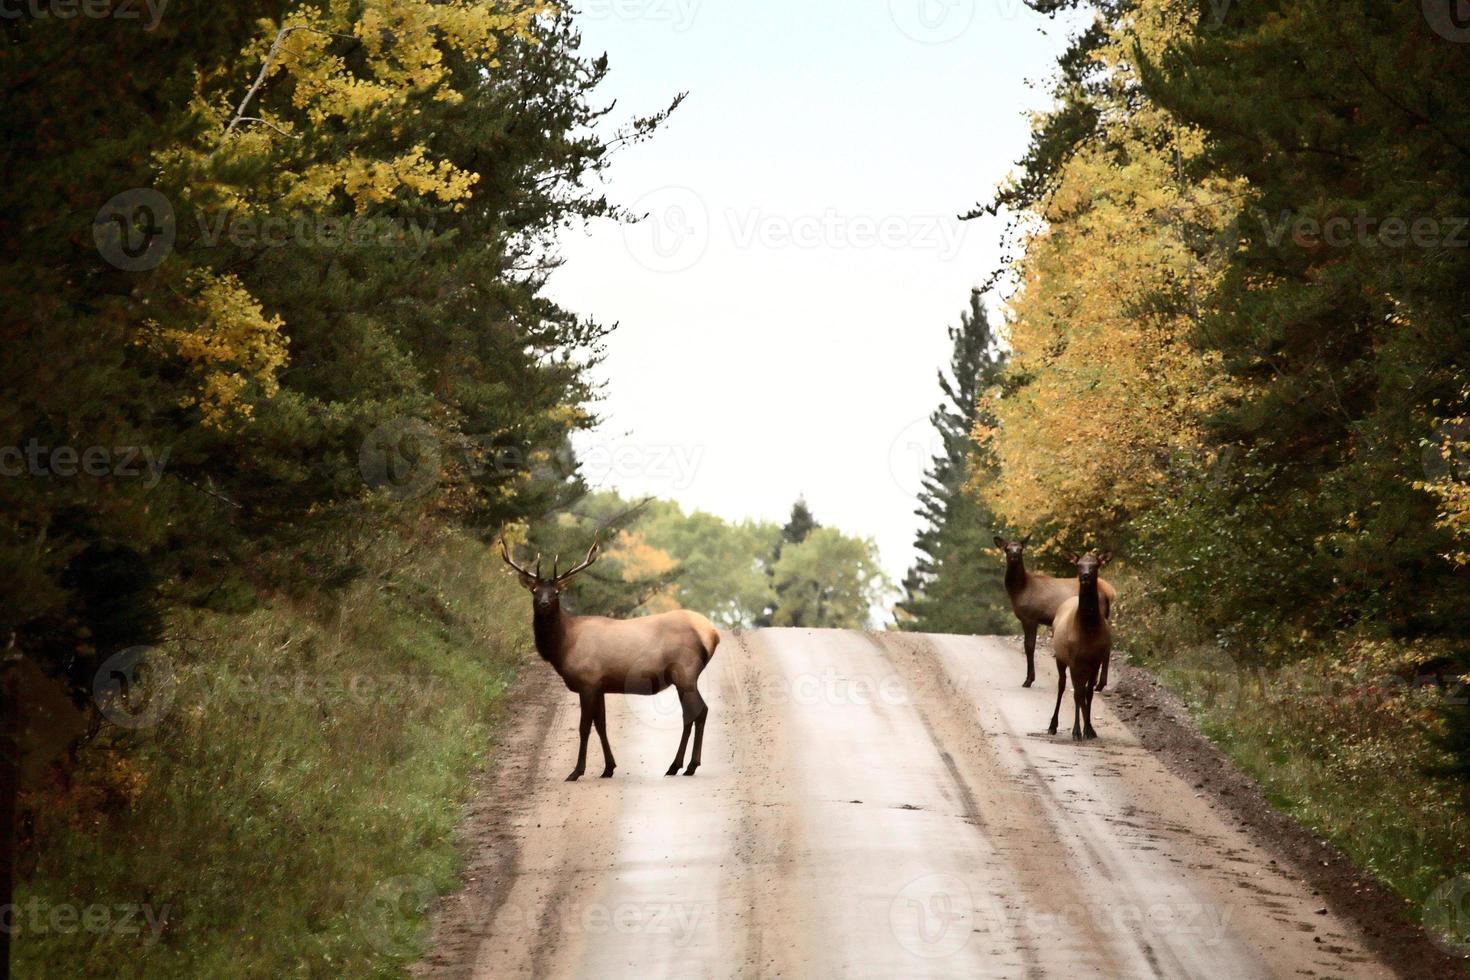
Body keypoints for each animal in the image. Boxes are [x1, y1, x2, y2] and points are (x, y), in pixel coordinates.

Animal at [499, 537, 723, 781]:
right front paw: (608, 768)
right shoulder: (599, 685)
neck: (563, 647)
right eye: (535, 590)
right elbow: (601, 725)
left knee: (699, 711)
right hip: (683, 677)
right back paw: (677, 766)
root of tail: (712, 634)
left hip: (685, 672)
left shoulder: (587, 681)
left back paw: (688, 765)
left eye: (557, 591)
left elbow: (584, 727)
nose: (544, 604)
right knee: (690, 714)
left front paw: (576, 771)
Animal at [993, 537, 1117, 690]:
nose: (1014, 555)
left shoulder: (1030, 617)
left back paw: (1099, 684)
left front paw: (1028, 680)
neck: (1018, 591)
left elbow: (1029, 647)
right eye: (1007, 549)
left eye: (1020, 549)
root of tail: (1109, 592)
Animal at [1046, 552, 1111, 743]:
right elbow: (1077, 694)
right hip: (1061, 659)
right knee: (1062, 686)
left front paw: (1089, 729)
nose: (1085, 576)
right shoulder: (1074, 661)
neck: (1087, 631)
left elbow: (1088, 693)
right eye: (1079, 565)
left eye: (1095, 565)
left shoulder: (1095, 662)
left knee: (1083, 692)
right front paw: (1076, 731)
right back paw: (1052, 726)